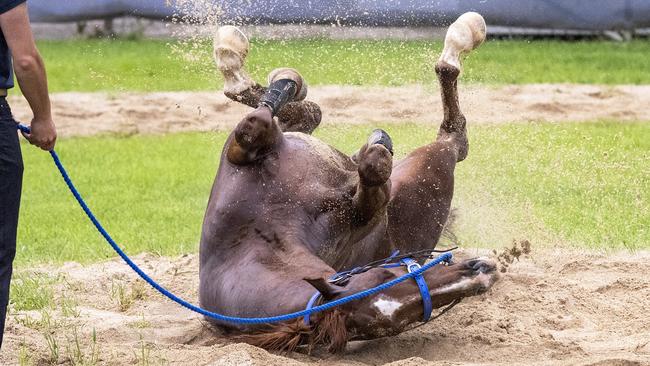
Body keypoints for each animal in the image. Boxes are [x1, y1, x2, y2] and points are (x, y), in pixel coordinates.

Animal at [197, 12, 496, 354]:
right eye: (384, 276)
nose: (481, 272)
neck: (259, 233)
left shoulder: (242, 151)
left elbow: (255, 124)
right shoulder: (363, 215)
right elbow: (372, 179)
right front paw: (374, 153)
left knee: (298, 112)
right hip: (435, 162)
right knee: (454, 129)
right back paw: (464, 36)